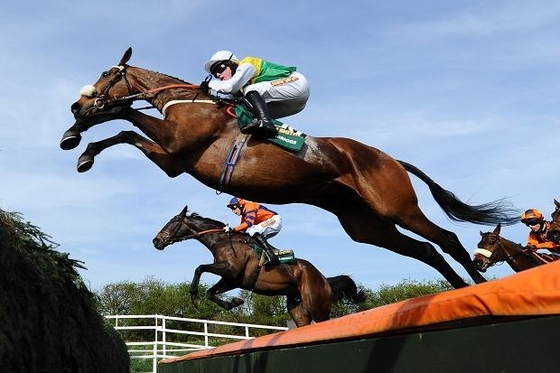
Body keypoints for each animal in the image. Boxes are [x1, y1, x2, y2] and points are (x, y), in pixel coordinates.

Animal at [62, 47, 520, 288]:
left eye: (106, 73)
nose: (77, 103)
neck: (188, 103)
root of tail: (388, 158)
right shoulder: (173, 160)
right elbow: (122, 127)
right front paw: (78, 138)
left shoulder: (176, 148)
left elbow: (124, 121)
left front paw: (81, 138)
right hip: (366, 226)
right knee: (425, 249)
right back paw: (456, 291)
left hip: (396, 206)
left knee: (446, 239)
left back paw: (479, 287)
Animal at [151, 205, 366, 326]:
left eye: (172, 221)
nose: (156, 241)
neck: (221, 240)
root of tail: (324, 279)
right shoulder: (232, 279)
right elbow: (211, 292)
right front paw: (233, 302)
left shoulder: (231, 270)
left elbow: (199, 268)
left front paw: (195, 298)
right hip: (298, 309)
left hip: (317, 306)